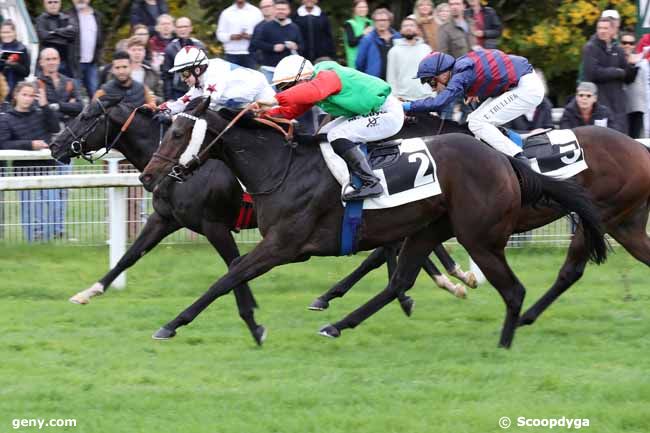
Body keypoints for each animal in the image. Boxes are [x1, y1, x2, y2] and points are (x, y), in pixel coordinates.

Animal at [138, 98, 608, 348]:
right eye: (166, 129)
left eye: (177, 133)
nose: (148, 175)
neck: (280, 168)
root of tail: (507, 160)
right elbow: (232, 275)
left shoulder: (283, 245)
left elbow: (227, 277)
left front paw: (175, 324)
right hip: (430, 228)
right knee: (399, 281)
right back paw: (338, 324)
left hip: (479, 236)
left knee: (513, 289)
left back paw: (503, 342)